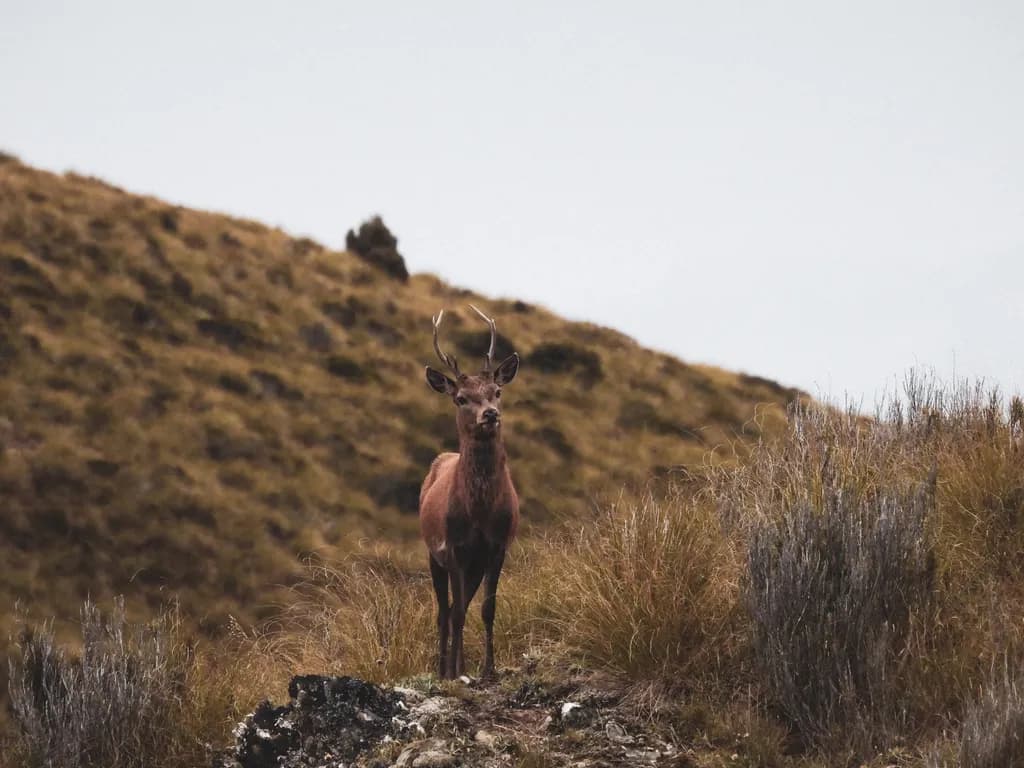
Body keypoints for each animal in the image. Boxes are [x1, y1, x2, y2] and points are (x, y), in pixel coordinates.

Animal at [419, 305, 520, 680]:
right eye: (461, 398)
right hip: (433, 554)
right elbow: (459, 613)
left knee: (453, 609)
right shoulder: (455, 548)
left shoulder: (497, 546)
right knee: (444, 613)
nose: (489, 415)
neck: (479, 512)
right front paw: (457, 671)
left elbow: (487, 609)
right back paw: (443, 669)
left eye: (497, 391)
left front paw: (489, 669)